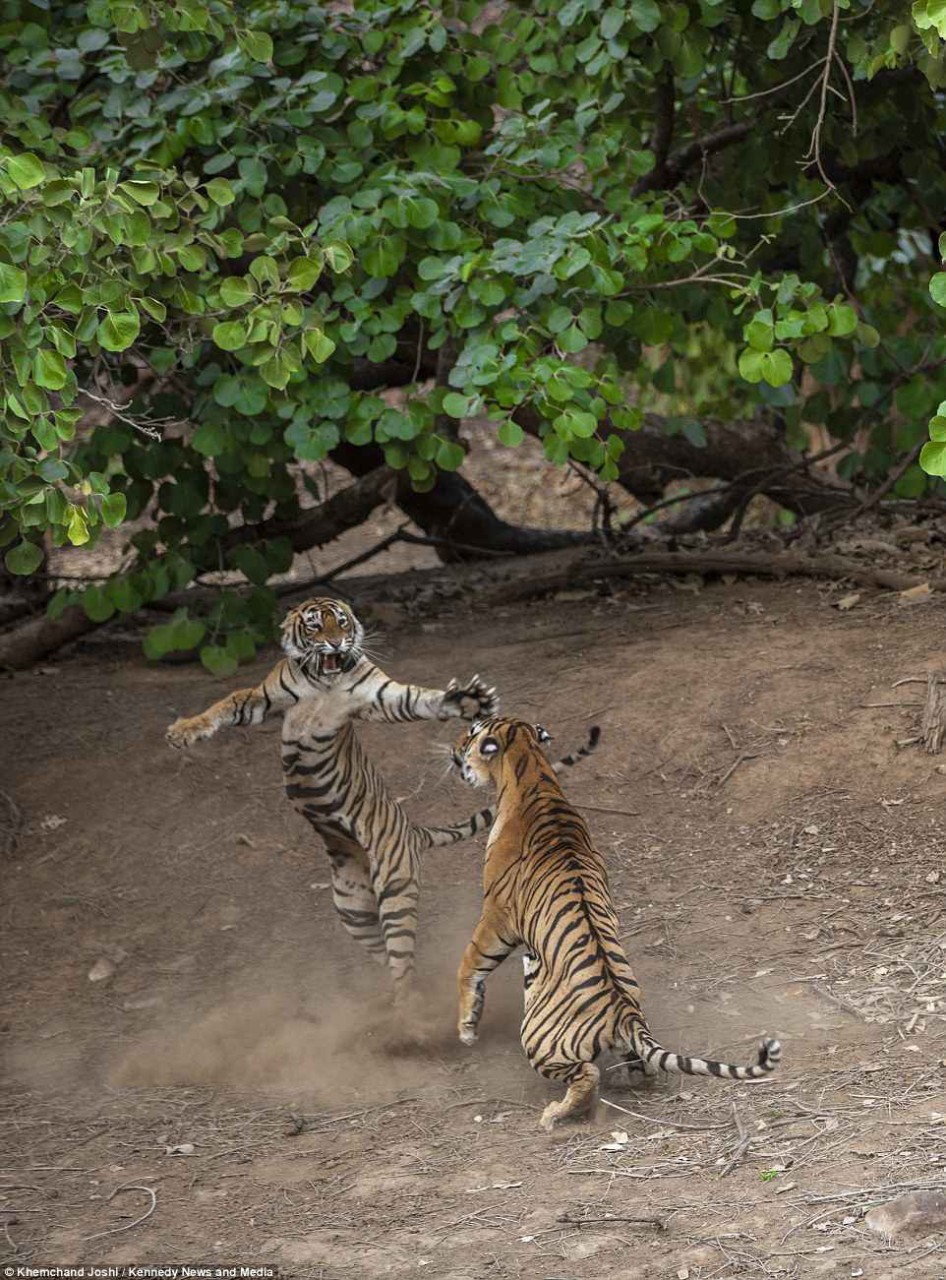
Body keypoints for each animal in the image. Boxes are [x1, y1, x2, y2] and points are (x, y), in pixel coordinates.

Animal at [168, 593, 504, 1003]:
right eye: (315, 625)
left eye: (341, 622)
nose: (336, 643)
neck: (324, 681)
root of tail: (413, 829)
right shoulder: (263, 699)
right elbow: (225, 704)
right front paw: (183, 732)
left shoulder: (380, 696)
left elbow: (421, 700)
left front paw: (468, 701)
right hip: (352, 909)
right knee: (385, 955)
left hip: (395, 888)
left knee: (403, 961)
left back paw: (407, 1009)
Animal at [453, 721, 783, 1131]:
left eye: (471, 733)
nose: (454, 748)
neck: (533, 771)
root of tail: (624, 1012)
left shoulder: (496, 917)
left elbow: (469, 965)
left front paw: (466, 1029)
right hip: (629, 1041)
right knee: (644, 1070)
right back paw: (623, 1081)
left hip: (537, 1040)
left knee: (586, 1075)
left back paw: (554, 1115)